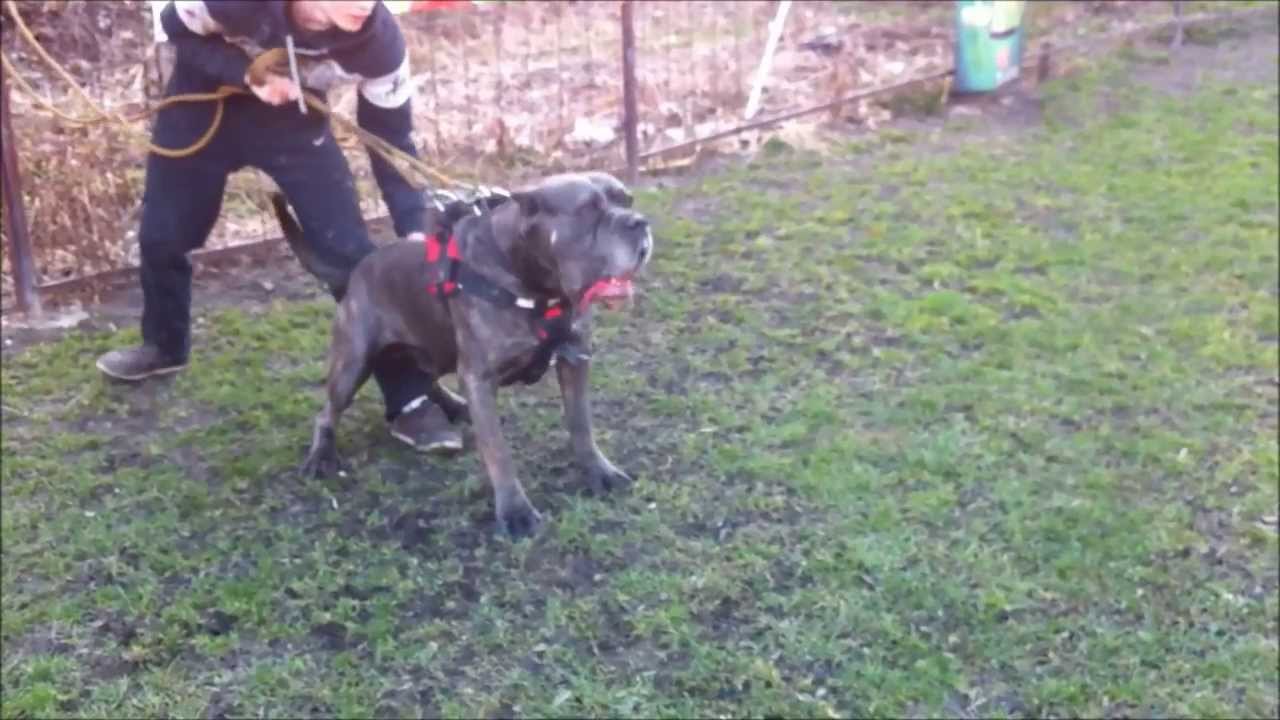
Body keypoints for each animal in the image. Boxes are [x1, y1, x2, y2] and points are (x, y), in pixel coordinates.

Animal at [270, 170, 650, 535]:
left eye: (627, 200)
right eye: (588, 211)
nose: (640, 222)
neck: (536, 282)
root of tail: (357, 268)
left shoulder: (576, 358)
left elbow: (581, 423)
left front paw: (599, 472)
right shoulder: (479, 377)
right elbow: (498, 451)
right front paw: (515, 512)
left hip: (432, 346)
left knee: (426, 377)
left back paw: (455, 405)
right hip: (353, 362)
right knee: (327, 413)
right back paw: (321, 457)